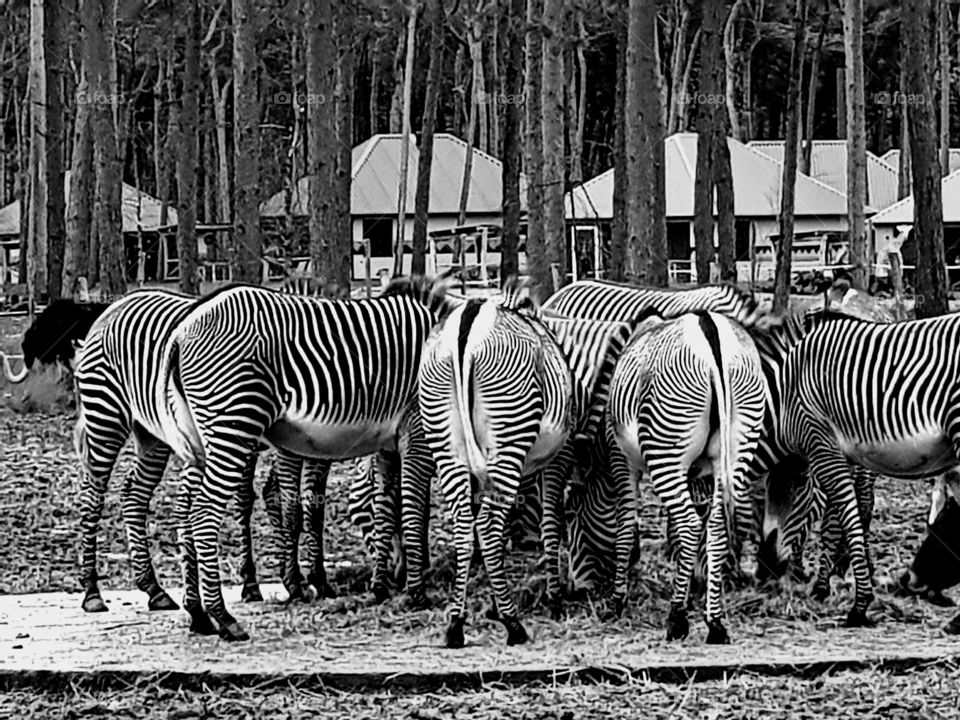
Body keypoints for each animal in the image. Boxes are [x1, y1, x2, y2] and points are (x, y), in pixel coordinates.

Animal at [158, 277, 454, 641]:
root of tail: (182, 328)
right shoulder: (416, 433)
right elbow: (413, 511)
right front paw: (416, 593)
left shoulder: (388, 447)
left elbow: (388, 509)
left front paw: (382, 586)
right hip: (234, 424)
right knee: (203, 513)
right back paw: (224, 617)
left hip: (200, 437)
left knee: (185, 512)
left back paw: (198, 614)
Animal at [416, 283, 637, 647]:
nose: (636, 558)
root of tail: (470, 316)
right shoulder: (559, 456)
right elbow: (548, 523)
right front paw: (553, 600)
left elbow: (507, 523)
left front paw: (493, 604)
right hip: (508, 432)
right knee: (487, 526)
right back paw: (514, 624)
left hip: (447, 443)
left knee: (466, 527)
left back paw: (456, 624)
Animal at [605, 311, 766, 644]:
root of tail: (709, 326)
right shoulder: (698, 473)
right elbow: (679, 533)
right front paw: (692, 592)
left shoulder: (621, 459)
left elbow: (626, 525)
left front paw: (617, 601)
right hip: (739, 442)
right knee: (715, 527)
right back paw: (715, 622)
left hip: (666, 445)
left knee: (691, 524)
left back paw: (676, 618)